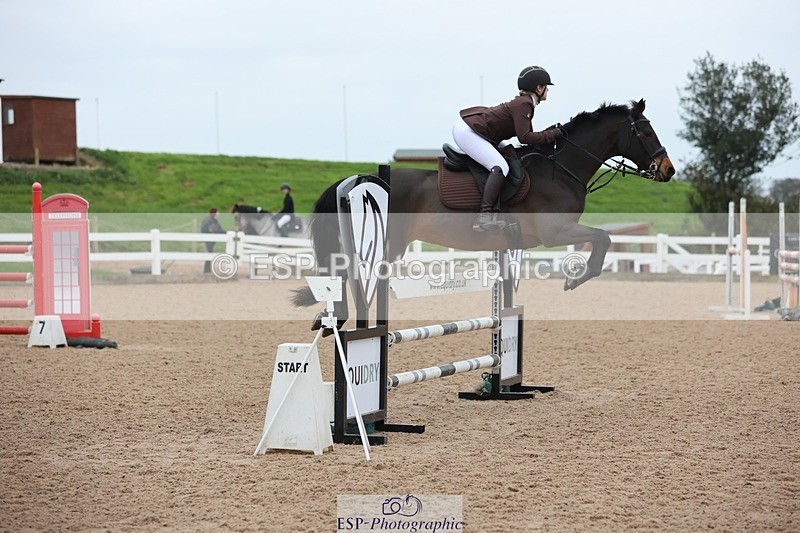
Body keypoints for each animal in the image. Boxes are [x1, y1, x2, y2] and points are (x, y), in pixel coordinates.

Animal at [292, 99, 675, 325]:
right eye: (645, 131)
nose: (668, 170)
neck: (562, 168)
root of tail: (360, 179)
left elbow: (601, 239)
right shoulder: (555, 233)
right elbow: (604, 238)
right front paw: (574, 279)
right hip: (387, 245)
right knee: (347, 274)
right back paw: (336, 319)